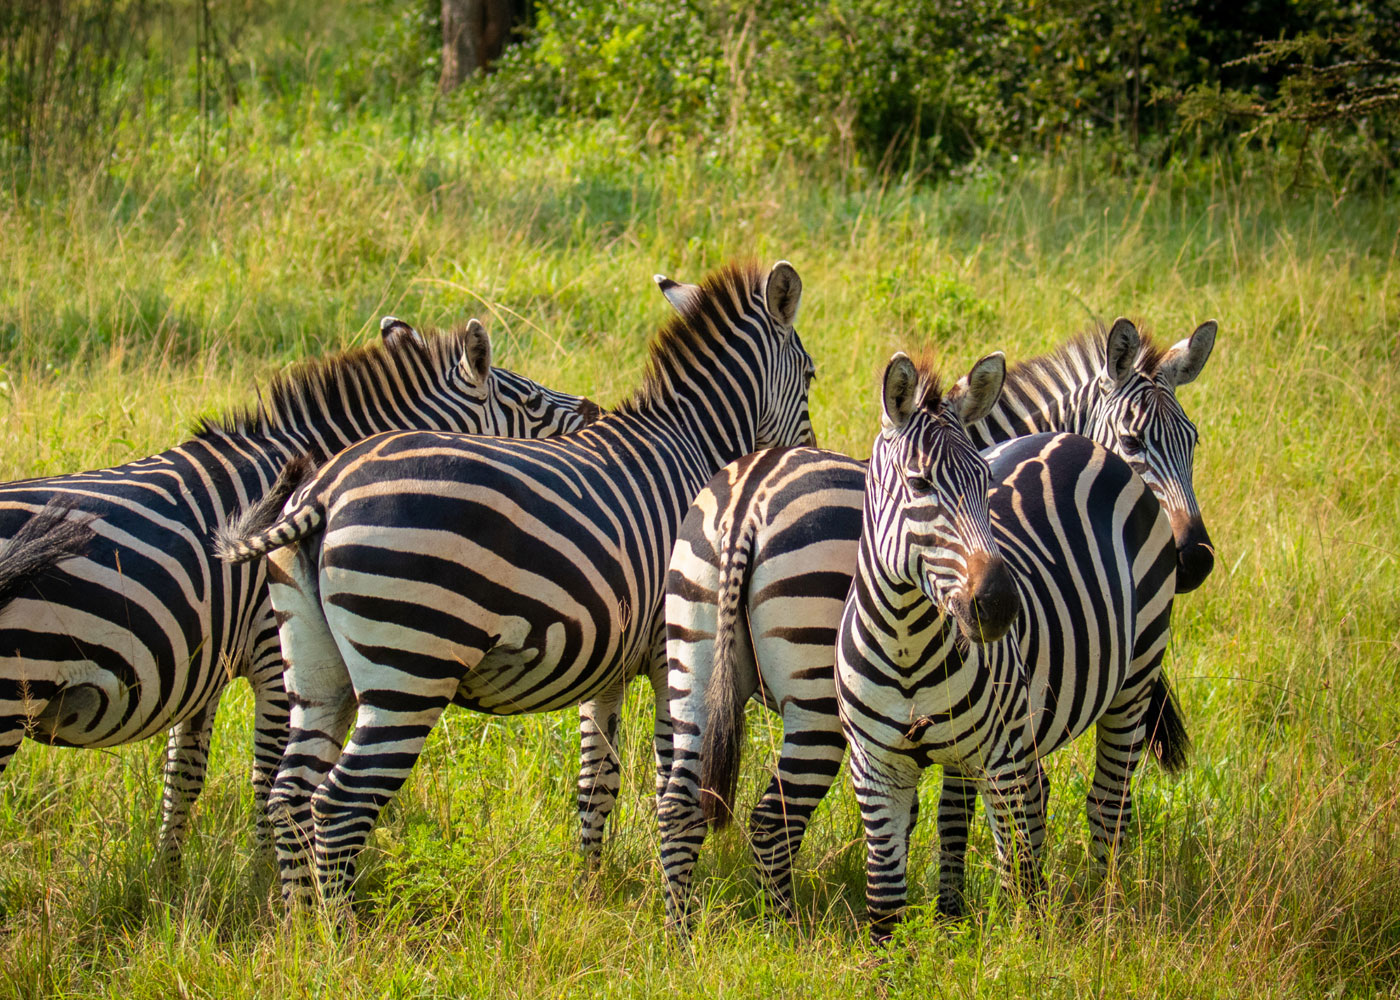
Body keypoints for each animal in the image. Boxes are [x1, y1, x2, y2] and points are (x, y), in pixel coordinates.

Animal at [0, 317, 596, 857]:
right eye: (532, 400)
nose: (594, 408)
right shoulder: (271, 649)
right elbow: (267, 778)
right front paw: (263, 882)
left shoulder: (205, 665)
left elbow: (182, 777)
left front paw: (168, 876)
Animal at [212, 257, 817, 901]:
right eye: (810, 376)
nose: (804, 458)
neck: (694, 442)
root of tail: (323, 492)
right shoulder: (667, 649)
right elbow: (666, 779)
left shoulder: (609, 658)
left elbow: (596, 781)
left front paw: (591, 891)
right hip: (409, 665)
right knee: (340, 805)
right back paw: (339, 924)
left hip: (313, 666)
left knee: (289, 793)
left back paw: (301, 917)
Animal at [655, 317, 1215, 918]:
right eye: (1132, 442)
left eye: (1192, 441)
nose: (1194, 559)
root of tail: (747, 503)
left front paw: (950, 913)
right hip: (816, 703)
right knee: (772, 823)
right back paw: (782, 926)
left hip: (692, 665)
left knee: (680, 810)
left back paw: (684, 932)